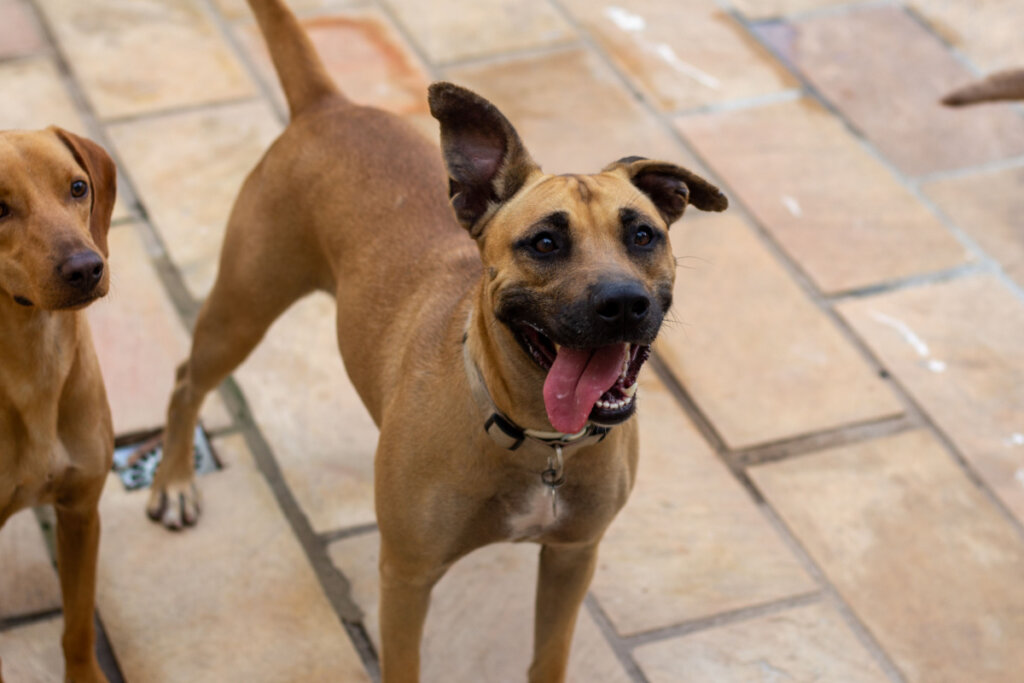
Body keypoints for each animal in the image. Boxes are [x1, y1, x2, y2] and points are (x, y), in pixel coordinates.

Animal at [148, 1, 729, 679]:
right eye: (545, 242)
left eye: (642, 235)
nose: (623, 303)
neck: (539, 438)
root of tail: (328, 105)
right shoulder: (407, 574)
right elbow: (404, 660)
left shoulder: (573, 556)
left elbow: (549, 655)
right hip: (243, 307)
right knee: (186, 381)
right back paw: (175, 481)